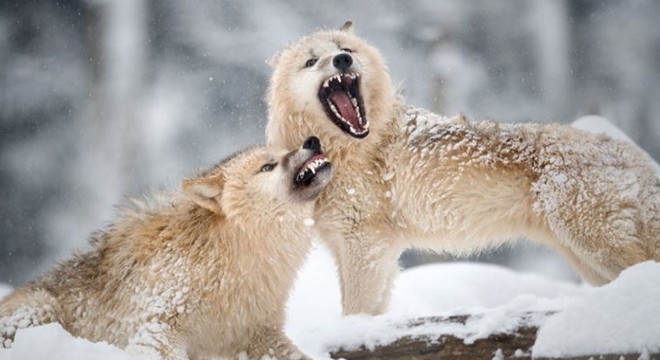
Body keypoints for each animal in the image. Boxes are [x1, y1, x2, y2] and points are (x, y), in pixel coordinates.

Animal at [0, 136, 332, 358]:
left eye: (285, 151)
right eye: (268, 166)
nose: (312, 140)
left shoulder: (260, 333)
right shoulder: (158, 327)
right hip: (39, 307)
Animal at [264, 21, 660, 316]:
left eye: (345, 48)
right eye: (312, 62)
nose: (343, 61)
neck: (354, 147)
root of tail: (633, 154)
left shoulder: (365, 244)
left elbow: (355, 311)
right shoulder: (376, 249)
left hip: (595, 247)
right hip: (587, 260)